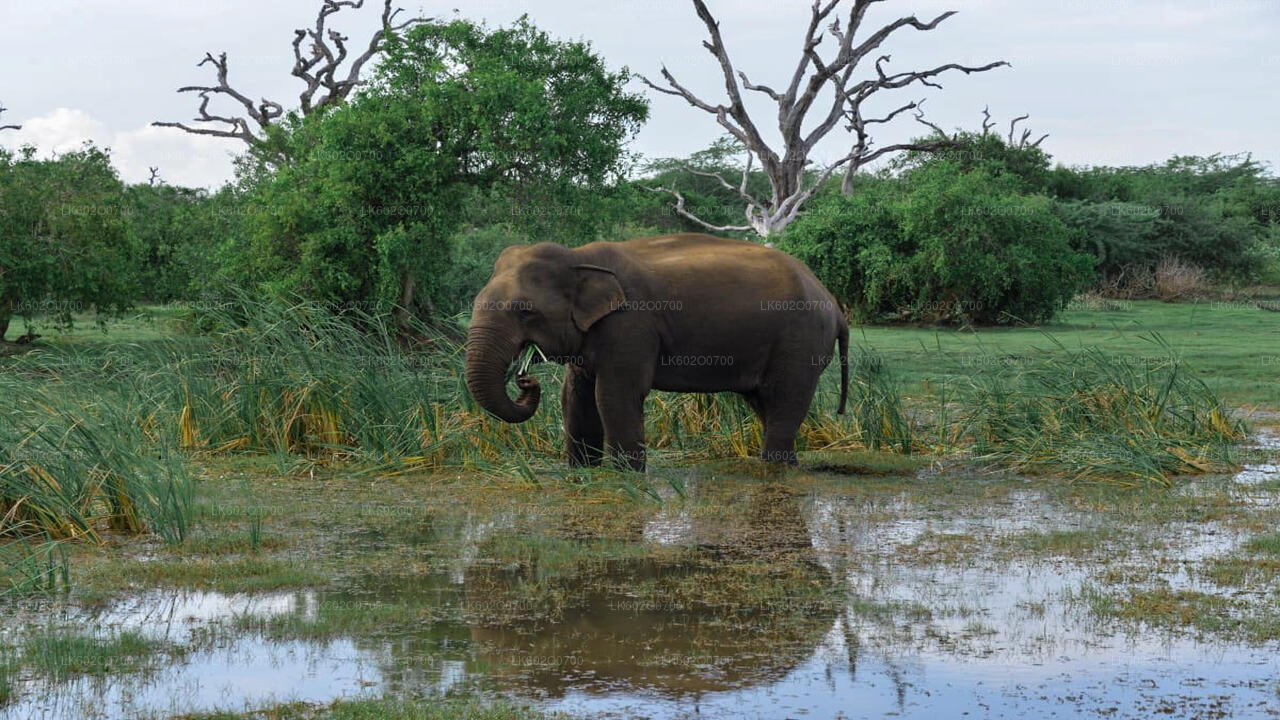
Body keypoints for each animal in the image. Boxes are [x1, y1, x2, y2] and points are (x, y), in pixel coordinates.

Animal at [465, 233, 844, 471]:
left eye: (524, 311)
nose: (524, 379)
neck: (578, 258)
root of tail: (833, 303)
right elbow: (575, 396)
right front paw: (583, 473)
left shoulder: (630, 325)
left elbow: (614, 394)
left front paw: (626, 476)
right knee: (764, 401)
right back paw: (786, 464)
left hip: (800, 341)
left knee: (786, 398)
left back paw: (774, 466)